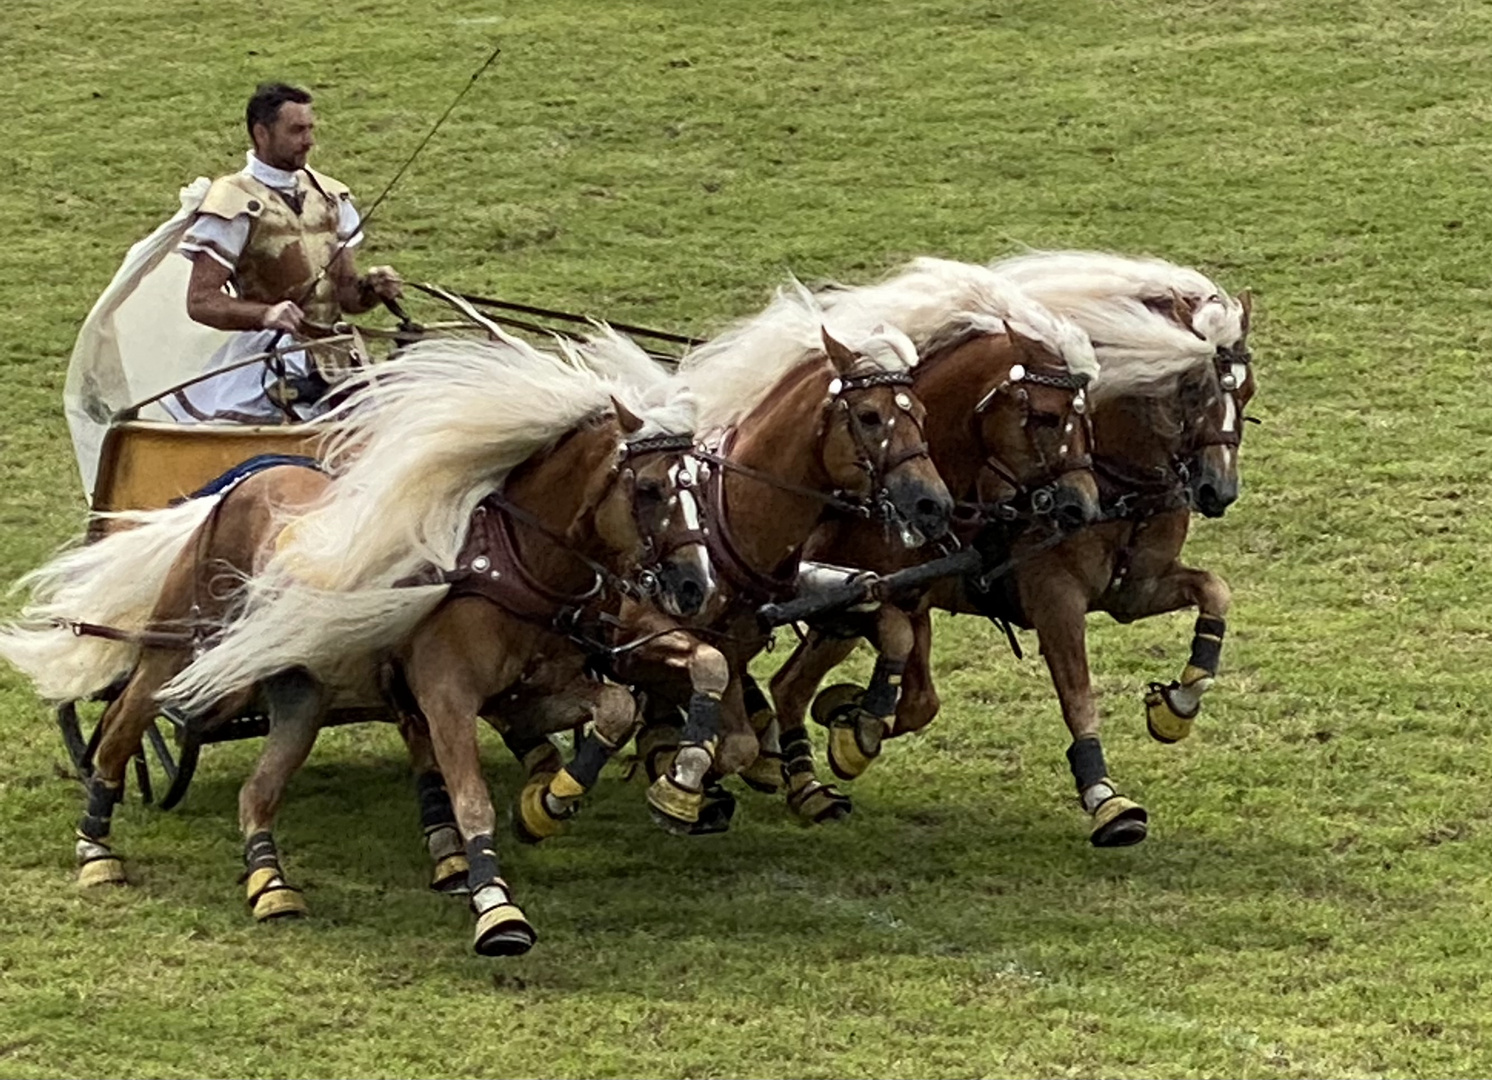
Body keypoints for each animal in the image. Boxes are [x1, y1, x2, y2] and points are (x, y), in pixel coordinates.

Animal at [510, 290, 954, 841]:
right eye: (870, 416)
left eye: (921, 411)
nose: (934, 504)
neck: (728, 517)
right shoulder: (638, 635)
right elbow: (717, 721)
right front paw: (681, 784)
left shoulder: (743, 638)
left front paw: (852, 734)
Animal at [769, 250, 1247, 841]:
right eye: (1194, 390)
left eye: (1247, 393)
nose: (1218, 489)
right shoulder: (1052, 601)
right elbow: (1076, 695)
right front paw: (1107, 800)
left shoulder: (1135, 592)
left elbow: (1215, 591)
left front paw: (1176, 704)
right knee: (789, 684)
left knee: (792, 686)